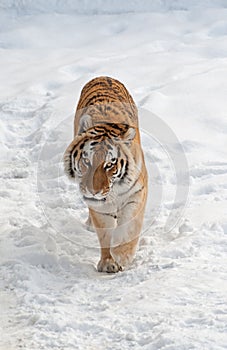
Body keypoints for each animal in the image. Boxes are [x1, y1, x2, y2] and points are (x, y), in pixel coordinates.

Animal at [63, 76, 148, 274]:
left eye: (110, 164)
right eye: (87, 161)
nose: (93, 191)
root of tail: (102, 76)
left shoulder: (136, 195)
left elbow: (129, 228)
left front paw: (121, 255)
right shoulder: (99, 206)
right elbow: (104, 232)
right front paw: (108, 262)